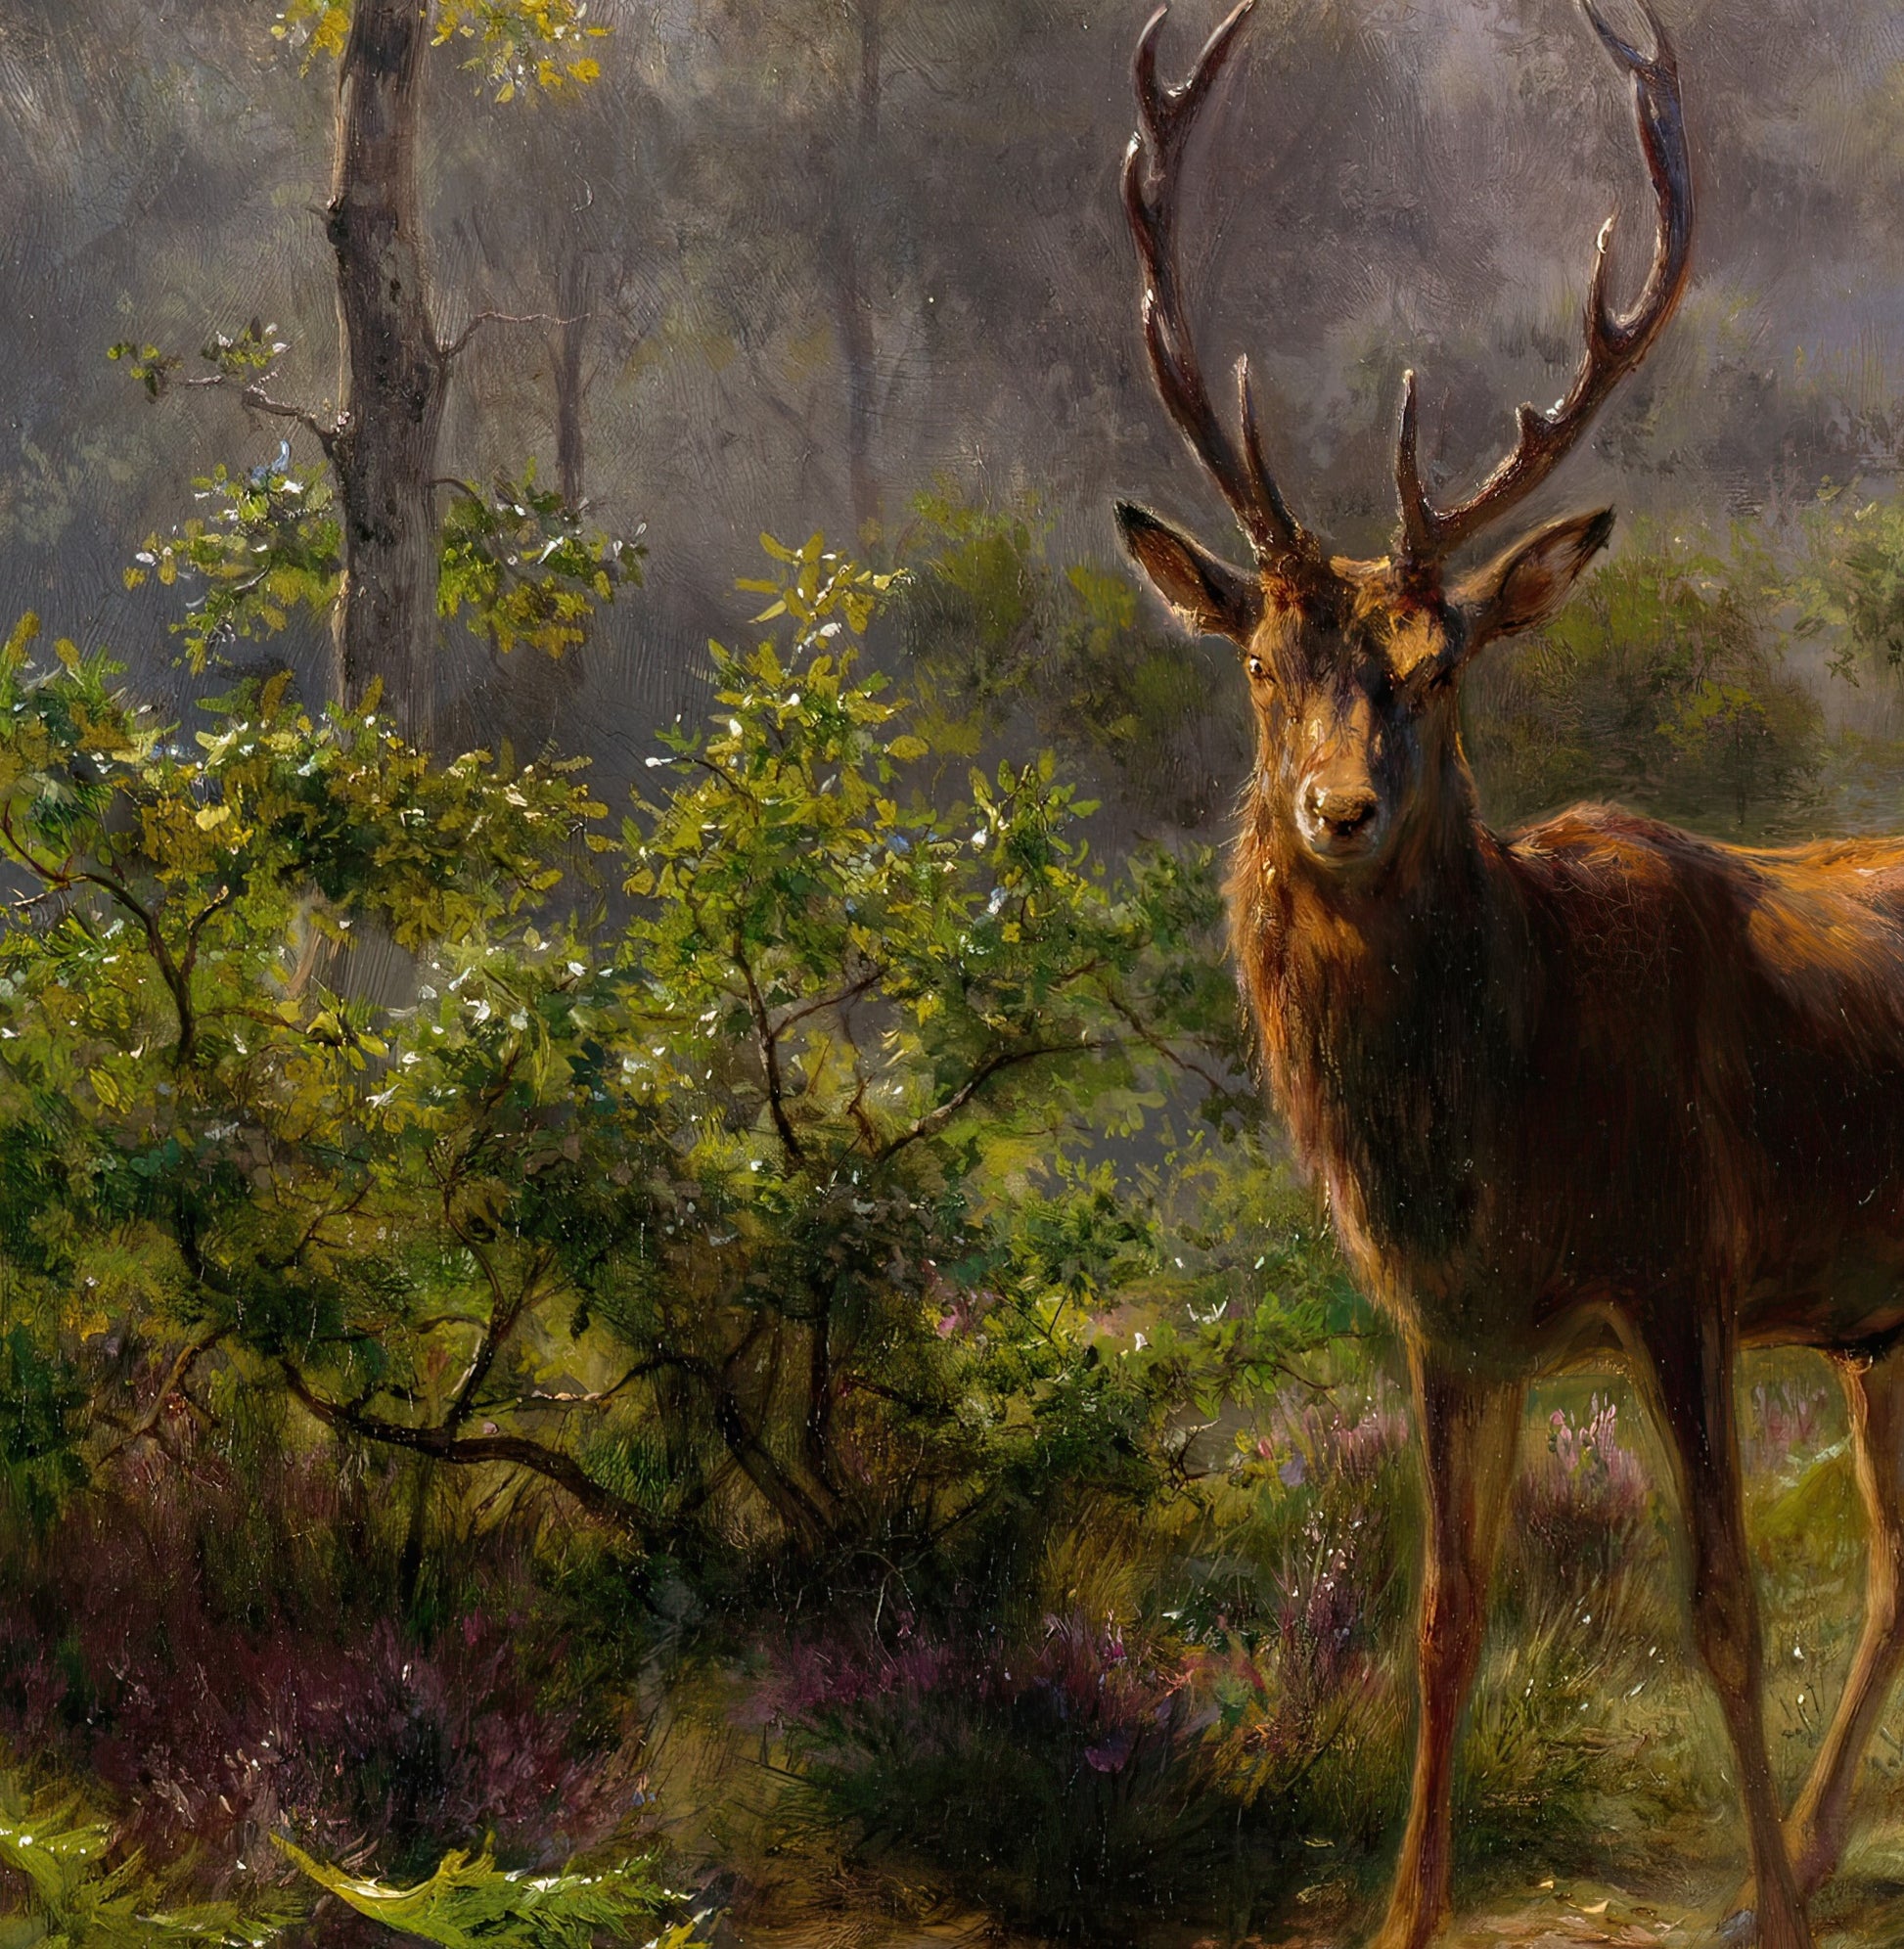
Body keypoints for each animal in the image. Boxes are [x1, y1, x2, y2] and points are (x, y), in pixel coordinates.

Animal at [1113, 5, 1904, 1948]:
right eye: (1262, 660)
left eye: (1440, 662)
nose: (1335, 809)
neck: (1497, 1137)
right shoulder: (1446, 1329)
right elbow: (1441, 1618)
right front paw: (1401, 1914)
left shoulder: (1689, 1268)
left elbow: (1721, 1609)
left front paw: (1766, 1905)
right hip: (1874, 1319)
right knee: (1898, 1552)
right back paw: (1812, 1855)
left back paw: (1793, 1875)